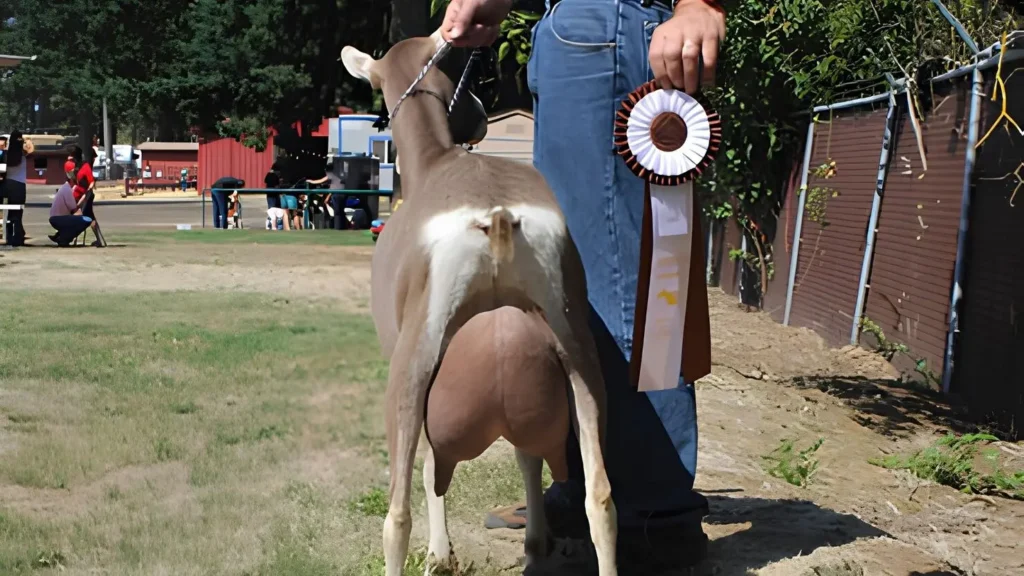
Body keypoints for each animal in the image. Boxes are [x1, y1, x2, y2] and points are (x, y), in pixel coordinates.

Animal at [341, 30, 618, 576]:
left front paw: (440, 552)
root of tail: (496, 216)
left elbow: (430, 467)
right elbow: (527, 456)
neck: (435, 161)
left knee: (398, 510)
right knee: (599, 495)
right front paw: (533, 541)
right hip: (577, 355)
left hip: (412, 365)